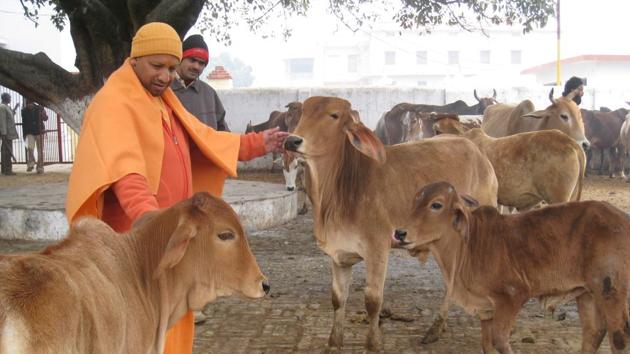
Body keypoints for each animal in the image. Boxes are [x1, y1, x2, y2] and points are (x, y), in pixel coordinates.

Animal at [284, 96, 502, 352]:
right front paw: (334, 343)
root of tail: (477, 151)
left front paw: (374, 343)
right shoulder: (339, 254)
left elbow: (372, 301)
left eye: (334, 115)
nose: (292, 140)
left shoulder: (377, 248)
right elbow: (338, 299)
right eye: (303, 113)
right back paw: (437, 328)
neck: (339, 191)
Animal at [398, 183, 630, 354]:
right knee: (593, 333)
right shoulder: (486, 309)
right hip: (587, 293)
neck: (468, 245)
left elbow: (500, 341)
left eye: (436, 205)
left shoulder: (511, 296)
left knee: (619, 338)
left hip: (611, 290)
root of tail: (623, 218)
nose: (400, 233)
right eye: (414, 201)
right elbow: (487, 344)